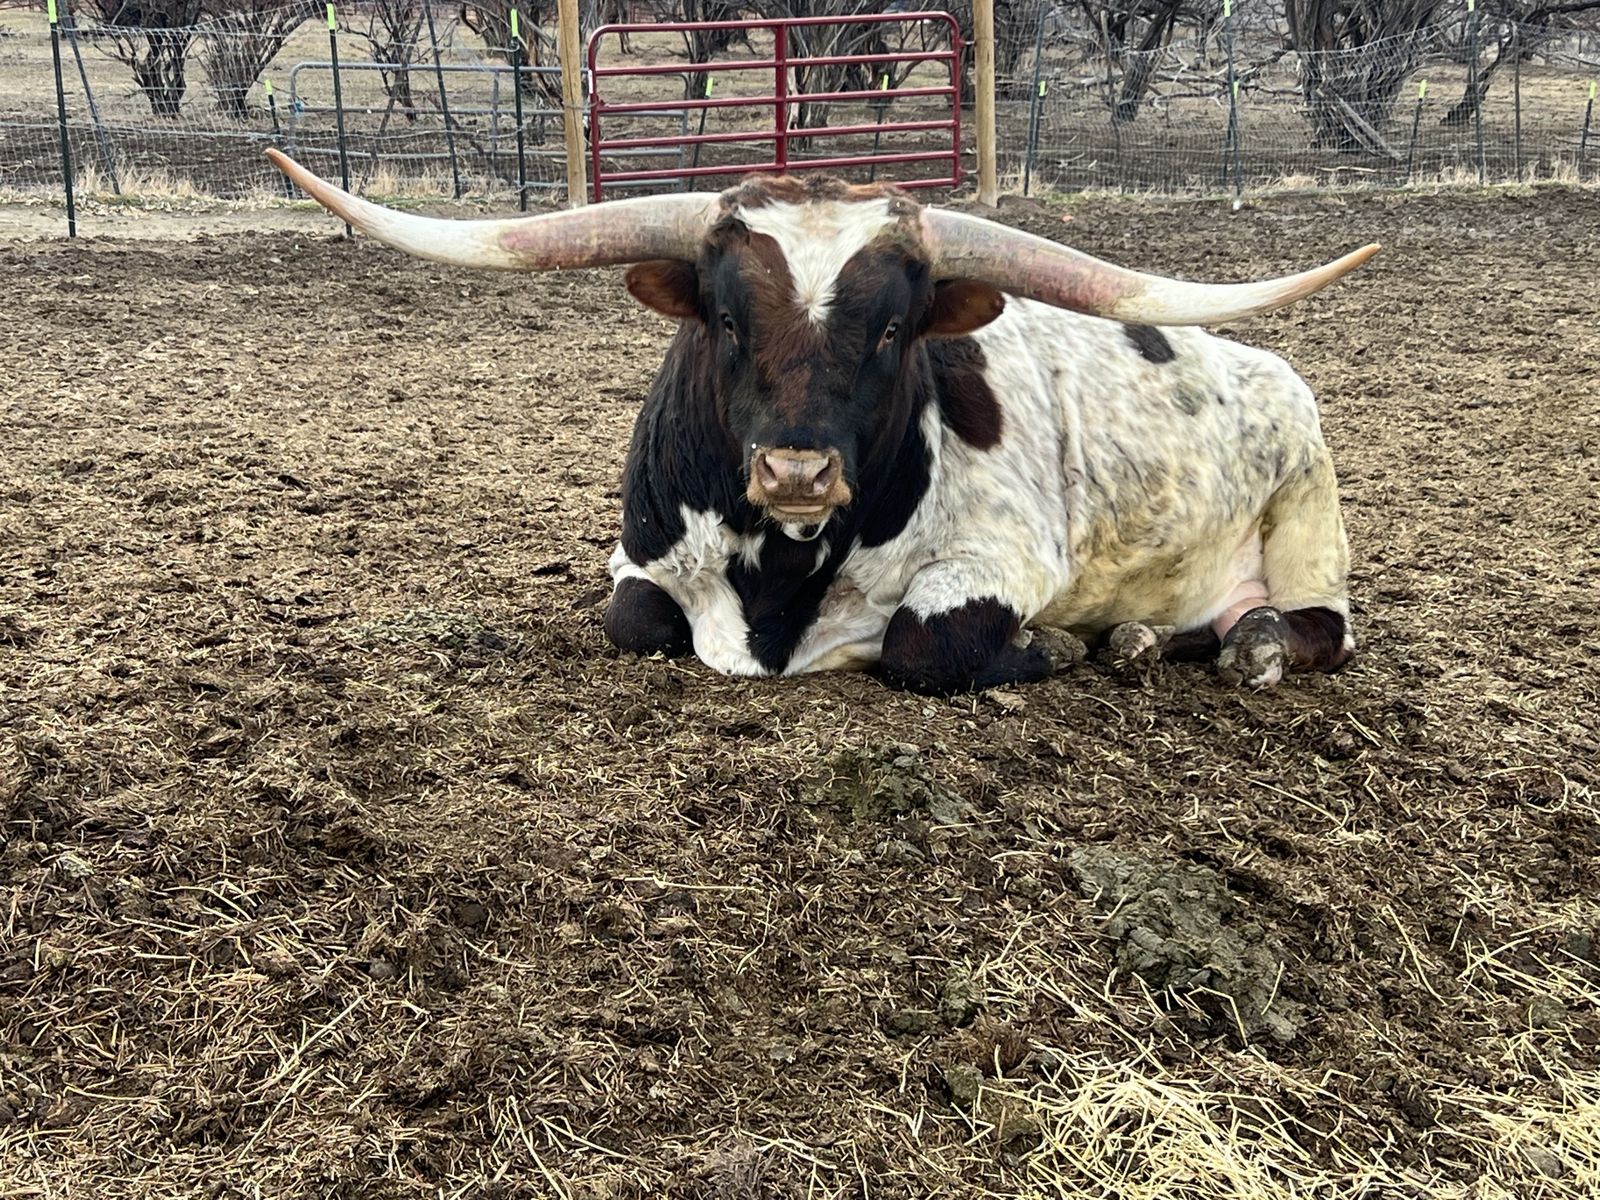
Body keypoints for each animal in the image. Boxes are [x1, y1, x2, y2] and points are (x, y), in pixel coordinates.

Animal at [266, 151, 1378, 694]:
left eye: (891, 331)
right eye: (725, 319)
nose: (795, 474)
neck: (778, 581)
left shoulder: (1005, 559)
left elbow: (921, 646)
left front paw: (1052, 649)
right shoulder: (640, 557)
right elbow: (634, 622)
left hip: (1308, 516)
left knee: (1317, 628)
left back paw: (1245, 646)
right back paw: (1145, 637)